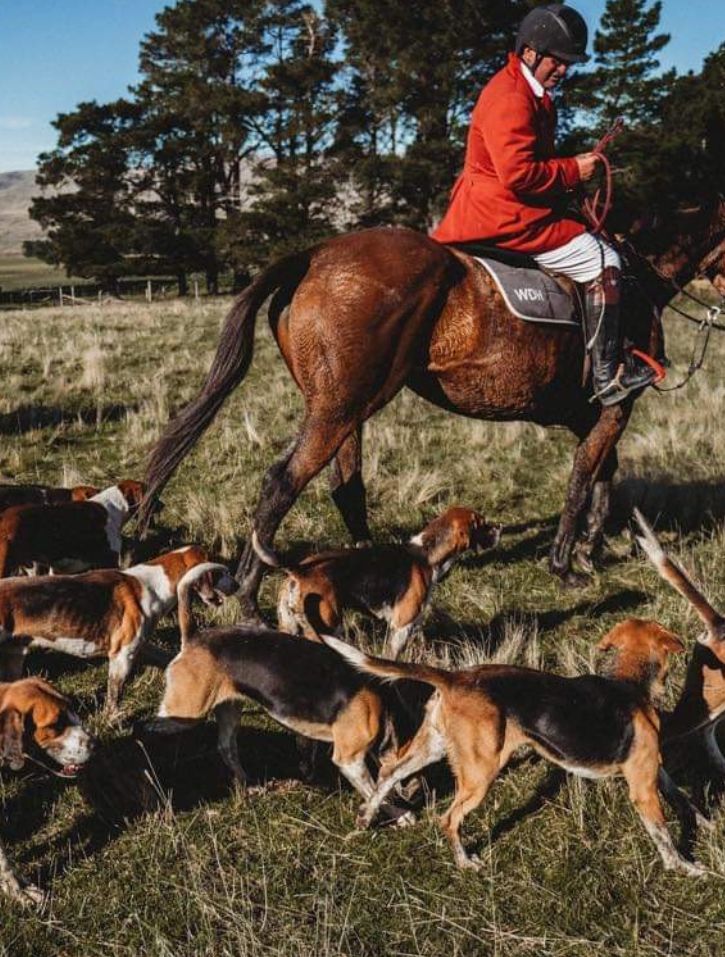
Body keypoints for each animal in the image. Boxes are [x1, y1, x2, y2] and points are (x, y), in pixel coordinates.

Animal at [141, 199, 725, 619]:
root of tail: (316, 254)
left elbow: (603, 473)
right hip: (340, 408)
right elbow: (585, 477)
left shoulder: (594, 413)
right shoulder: (615, 405)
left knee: (345, 487)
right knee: (283, 482)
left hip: (346, 408)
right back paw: (247, 597)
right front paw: (566, 563)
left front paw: (590, 548)